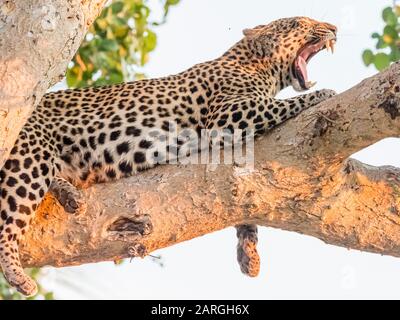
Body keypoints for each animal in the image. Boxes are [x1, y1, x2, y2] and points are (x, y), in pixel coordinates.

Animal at [0, 15, 338, 296]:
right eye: (299, 22)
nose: (333, 28)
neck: (256, 65)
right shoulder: (228, 115)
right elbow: (282, 105)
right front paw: (324, 94)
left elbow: (244, 200)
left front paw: (249, 254)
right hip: (29, 153)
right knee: (9, 220)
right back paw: (17, 273)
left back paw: (70, 196)